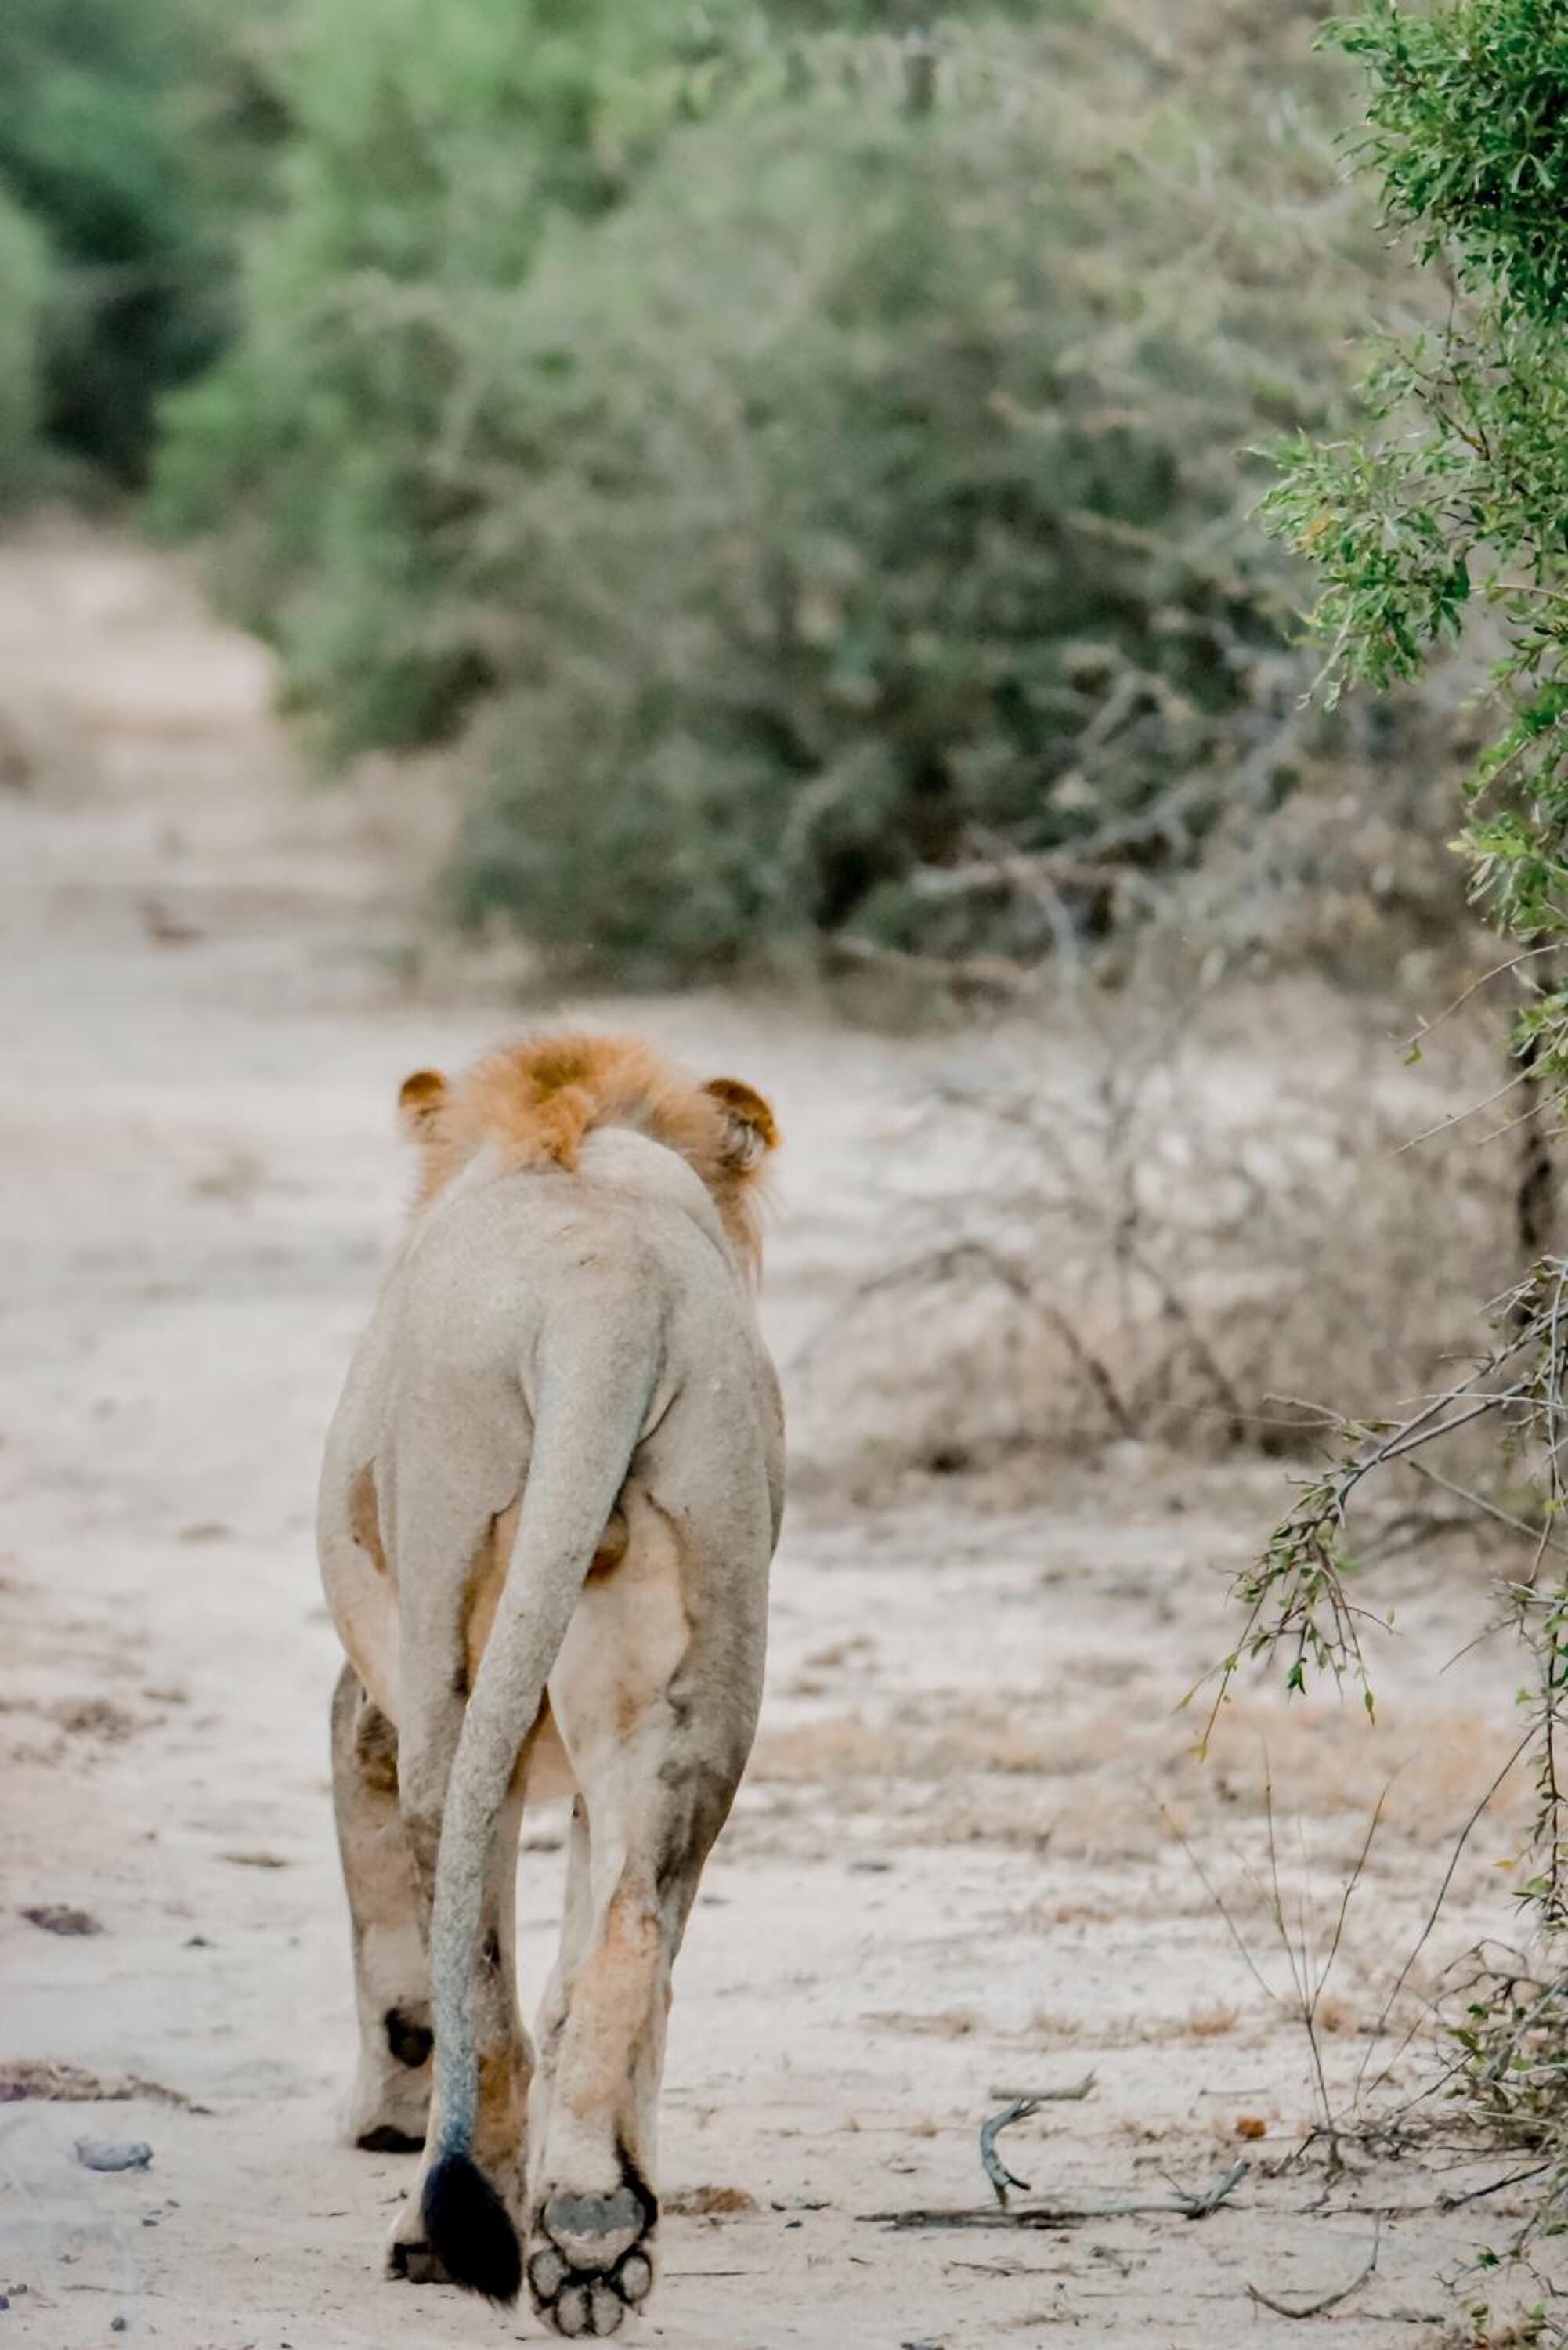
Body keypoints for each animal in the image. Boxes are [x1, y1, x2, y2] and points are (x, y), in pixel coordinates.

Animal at [317, 1032, 784, 2337]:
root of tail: (600, 1287)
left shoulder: (369, 1703)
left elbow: (398, 1945)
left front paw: (386, 2116)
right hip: (697, 1636)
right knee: (627, 1942)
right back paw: (590, 2231)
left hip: (446, 1621)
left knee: (478, 1957)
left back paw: (441, 2229)